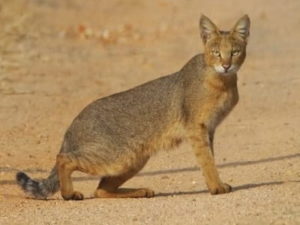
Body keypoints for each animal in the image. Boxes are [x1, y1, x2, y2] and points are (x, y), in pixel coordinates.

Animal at [16, 14, 251, 200]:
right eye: (216, 52)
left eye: (235, 51)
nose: (226, 65)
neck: (222, 82)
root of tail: (73, 123)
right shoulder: (197, 128)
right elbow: (207, 160)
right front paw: (216, 187)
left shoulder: (209, 128)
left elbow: (210, 158)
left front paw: (216, 183)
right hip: (116, 157)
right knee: (64, 159)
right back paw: (69, 194)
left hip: (133, 160)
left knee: (100, 190)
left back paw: (140, 191)